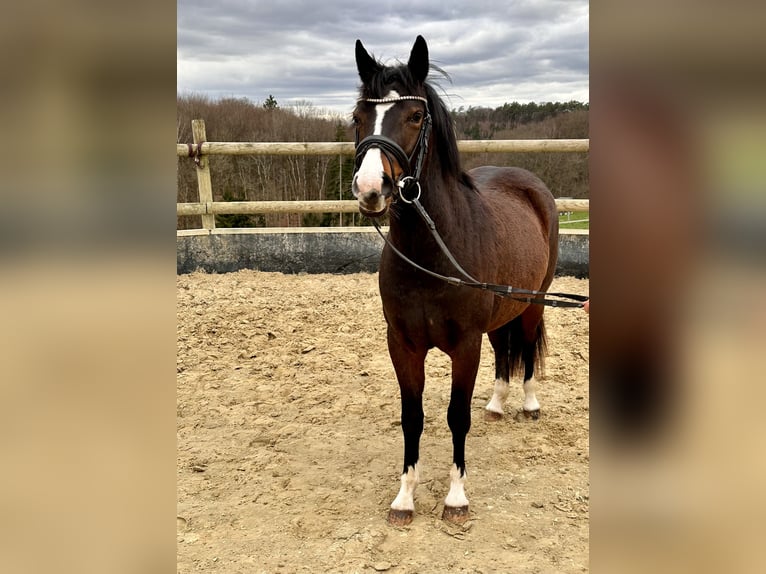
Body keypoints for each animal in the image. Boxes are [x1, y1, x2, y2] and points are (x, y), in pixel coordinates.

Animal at [351, 36, 560, 526]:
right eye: (358, 116)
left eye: (415, 116)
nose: (370, 189)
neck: (433, 252)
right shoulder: (403, 345)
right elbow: (413, 417)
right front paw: (404, 498)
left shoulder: (465, 346)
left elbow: (455, 416)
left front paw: (456, 498)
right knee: (504, 349)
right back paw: (498, 404)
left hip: (533, 301)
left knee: (525, 346)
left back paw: (528, 403)